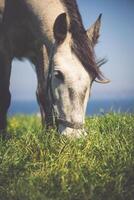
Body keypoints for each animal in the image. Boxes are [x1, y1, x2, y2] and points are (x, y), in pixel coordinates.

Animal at [0, 0, 109, 138]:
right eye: (58, 74)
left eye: (93, 79)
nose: (75, 136)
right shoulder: (4, 48)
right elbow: (4, 96)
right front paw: (3, 136)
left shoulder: (41, 48)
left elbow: (43, 94)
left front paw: (48, 133)